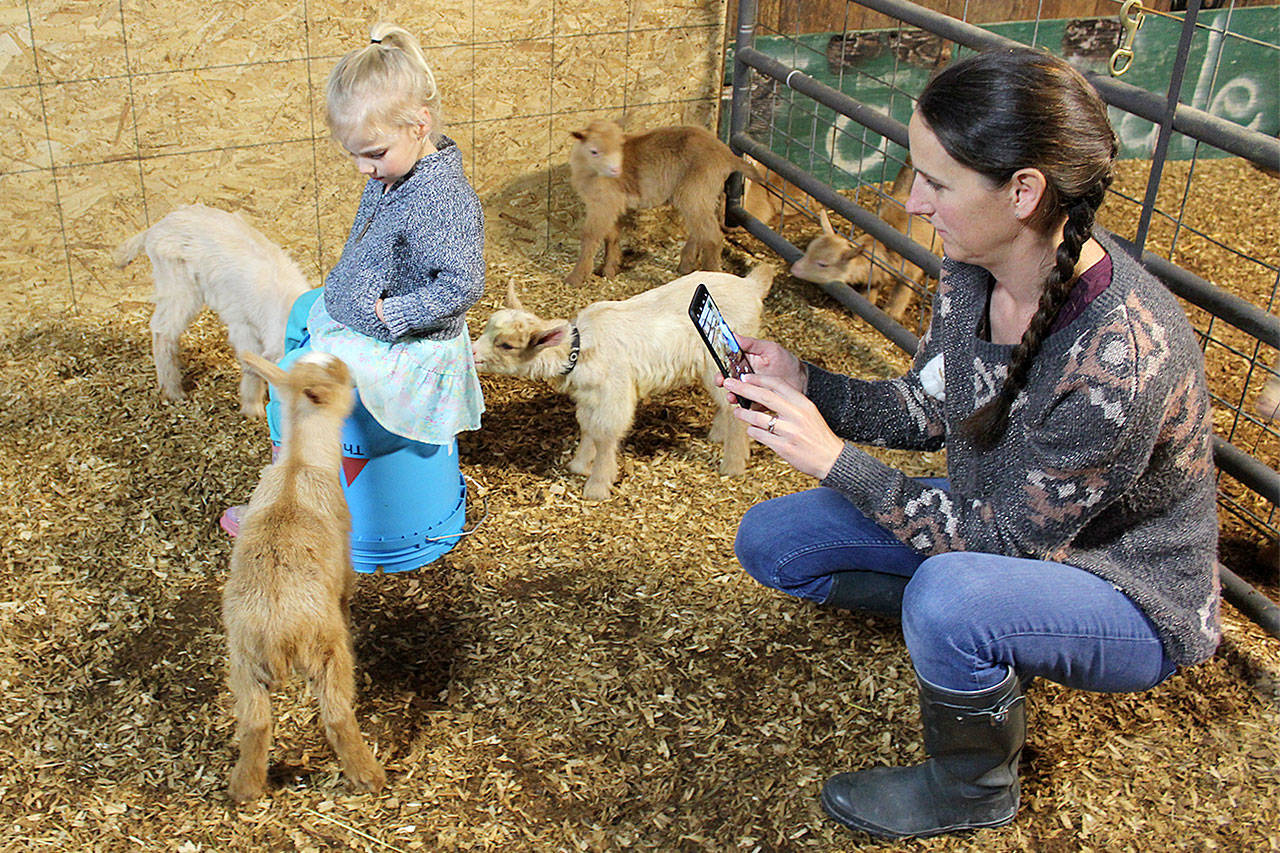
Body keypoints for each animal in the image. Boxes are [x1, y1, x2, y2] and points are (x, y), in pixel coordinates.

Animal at [114, 204, 311, 417]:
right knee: (163, 329)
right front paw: (252, 409)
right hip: (178, 283)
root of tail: (154, 228)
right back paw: (173, 391)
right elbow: (251, 364)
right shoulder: (243, 325)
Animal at [222, 350, 384, 803]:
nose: (348, 366)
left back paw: (244, 788)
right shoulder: (345, 560)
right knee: (337, 715)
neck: (299, 462)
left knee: (255, 723)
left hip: (243, 664)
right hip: (325, 652)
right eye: (338, 375)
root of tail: (276, 633)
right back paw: (369, 775)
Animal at [473, 264, 775, 500]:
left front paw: (597, 486)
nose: (472, 353)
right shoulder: (590, 397)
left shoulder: (614, 394)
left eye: (507, 345)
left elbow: (606, 434)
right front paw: (580, 463)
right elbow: (588, 427)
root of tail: (751, 285)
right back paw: (718, 436)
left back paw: (733, 463)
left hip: (722, 358)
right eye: (487, 328)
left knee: (738, 408)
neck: (579, 350)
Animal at [565, 119, 762, 286]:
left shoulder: (603, 203)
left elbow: (590, 236)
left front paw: (576, 277)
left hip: (695, 191)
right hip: (704, 193)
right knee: (700, 229)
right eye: (594, 151)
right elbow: (611, 236)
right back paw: (686, 265)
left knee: (712, 235)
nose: (616, 170)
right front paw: (608, 270)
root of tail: (727, 155)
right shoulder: (611, 204)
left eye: (619, 148)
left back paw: (711, 273)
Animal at [789, 164, 938, 322]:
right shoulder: (875, 275)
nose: (794, 268)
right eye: (808, 250)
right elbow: (869, 295)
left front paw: (892, 313)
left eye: (823, 264)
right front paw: (859, 317)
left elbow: (902, 290)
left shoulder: (911, 270)